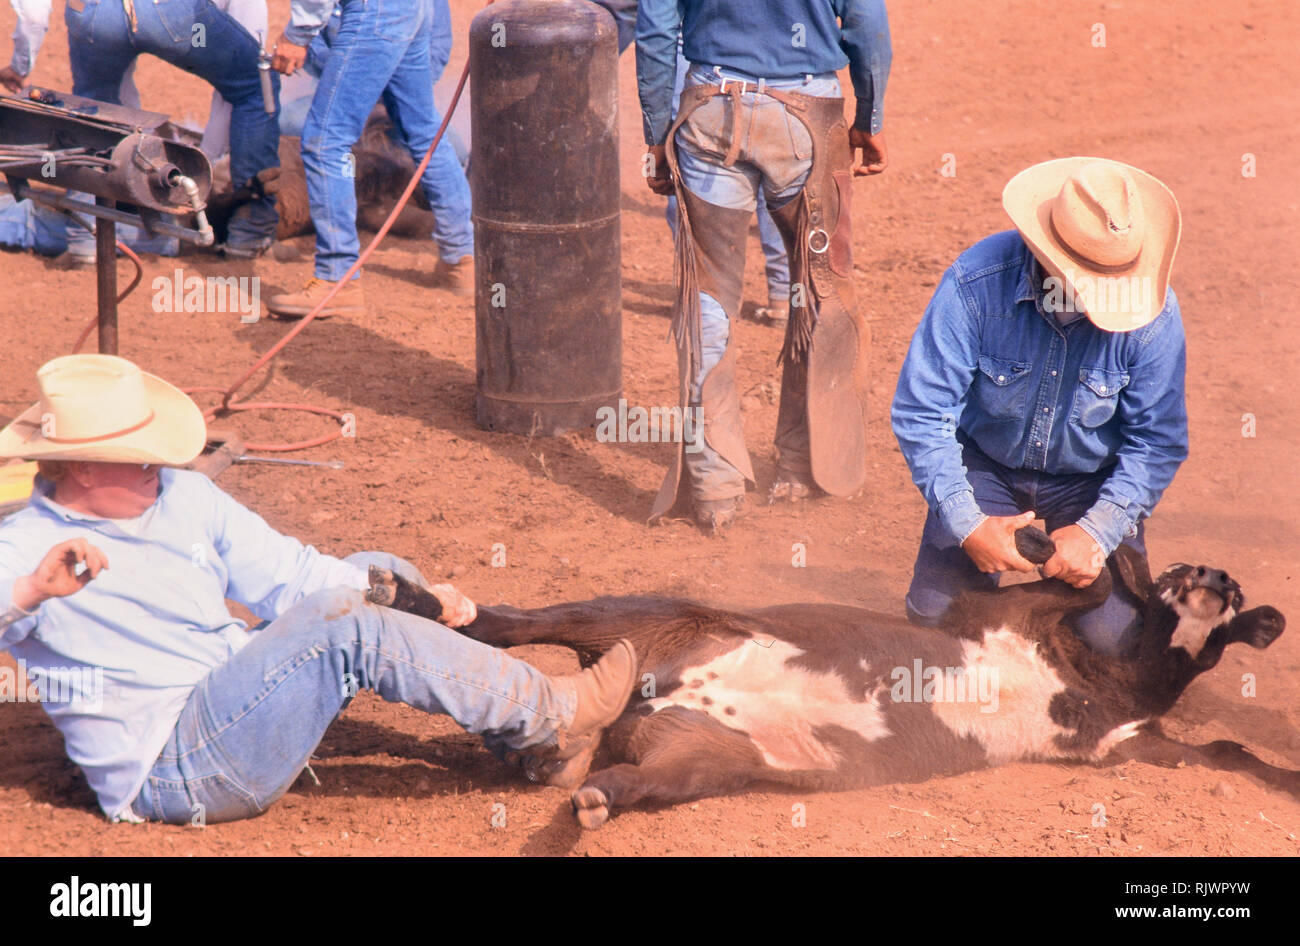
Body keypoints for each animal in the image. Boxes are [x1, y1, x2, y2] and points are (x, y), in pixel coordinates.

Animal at [369, 532, 1289, 826]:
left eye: (1237, 600)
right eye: (1183, 575)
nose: (1215, 579)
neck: (1099, 682)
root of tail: (645, 700)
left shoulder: (1129, 746)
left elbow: (1225, 754)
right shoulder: (1003, 614)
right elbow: (1082, 582)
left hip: (708, 758)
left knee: (639, 781)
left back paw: (594, 798)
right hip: (637, 613)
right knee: (511, 625)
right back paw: (411, 596)